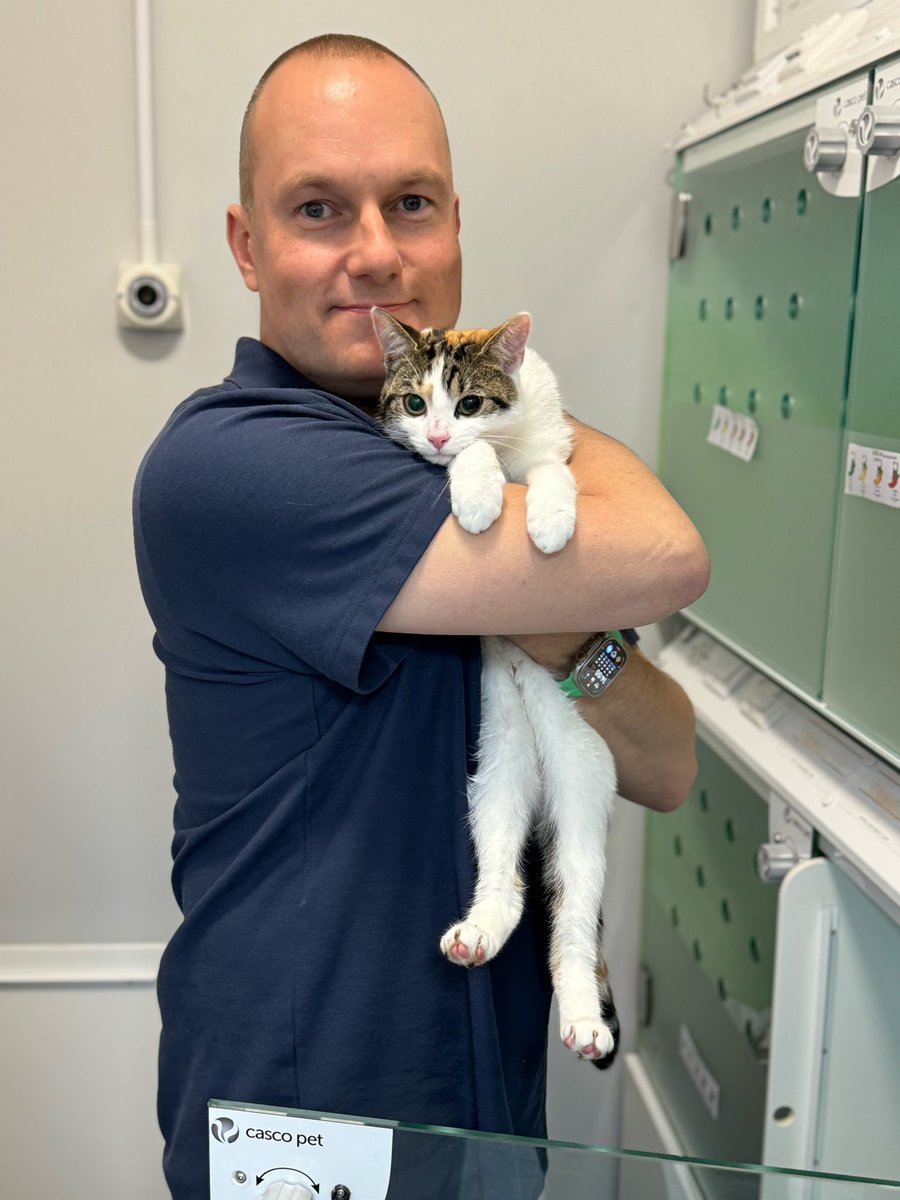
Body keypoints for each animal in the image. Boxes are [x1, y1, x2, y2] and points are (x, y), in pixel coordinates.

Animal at [372, 309, 619, 1070]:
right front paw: (479, 492)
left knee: (573, 914)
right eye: (415, 402)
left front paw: (550, 518)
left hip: (584, 789)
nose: (438, 433)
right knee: (506, 875)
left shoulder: (549, 438)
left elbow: (550, 470)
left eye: (470, 401)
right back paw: (480, 928)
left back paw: (583, 1014)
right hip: (494, 770)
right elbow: (474, 462)